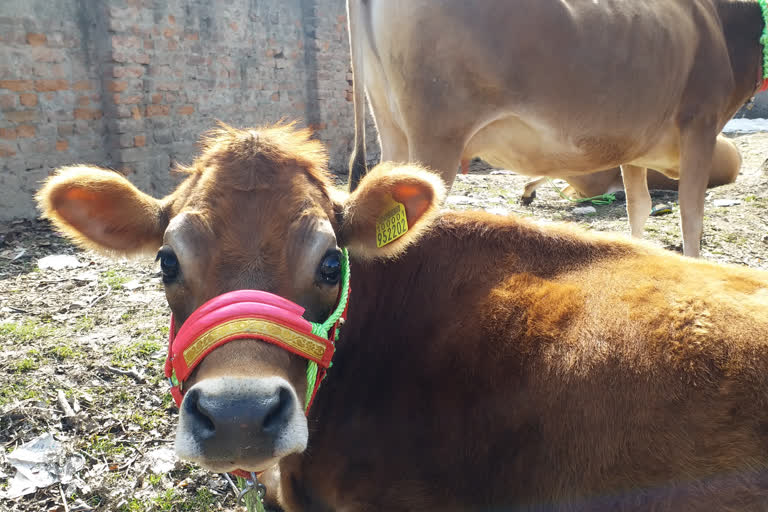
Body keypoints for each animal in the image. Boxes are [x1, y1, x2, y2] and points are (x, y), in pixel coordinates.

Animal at [346, 0, 760, 256]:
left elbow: (639, 207)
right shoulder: (700, 123)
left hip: (391, 128)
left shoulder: (634, 144)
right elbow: (692, 218)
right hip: (437, 135)